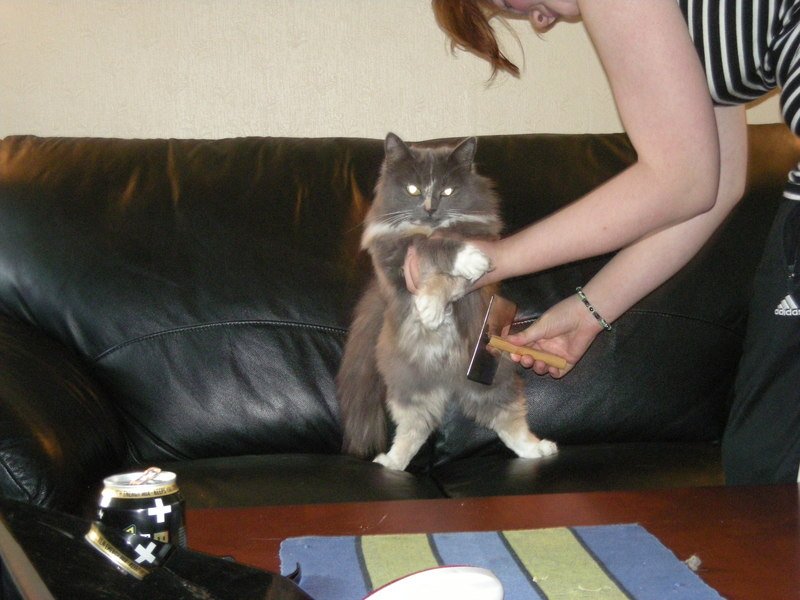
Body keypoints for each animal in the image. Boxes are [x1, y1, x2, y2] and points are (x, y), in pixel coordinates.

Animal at [336, 132, 557, 471]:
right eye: (413, 189)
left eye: (448, 191)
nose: (429, 208)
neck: (431, 227)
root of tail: (449, 378)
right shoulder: (393, 257)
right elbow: (431, 247)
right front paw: (438, 300)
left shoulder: (481, 249)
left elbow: (447, 274)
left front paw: (432, 305)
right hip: (409, 388)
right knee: (415, 428)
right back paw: (390, 463)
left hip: (492, 382)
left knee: (509, 421)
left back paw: (538, 450)